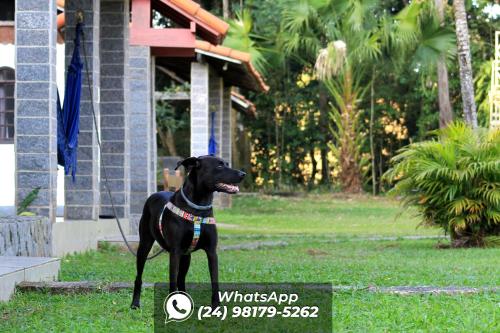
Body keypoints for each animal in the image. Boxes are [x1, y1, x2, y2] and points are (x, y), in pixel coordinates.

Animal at [130, 154, 245, 308]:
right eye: (219, 166)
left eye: (226, 163)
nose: (243, 174)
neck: (198, 208)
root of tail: (156, 193)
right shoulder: (175, 252)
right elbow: (172, 282)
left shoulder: (211, 252)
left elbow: (214, 281)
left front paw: (216, 307)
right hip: (145, 246)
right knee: (139, 276)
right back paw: (135, 303)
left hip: (186, 256)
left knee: (181, 279)